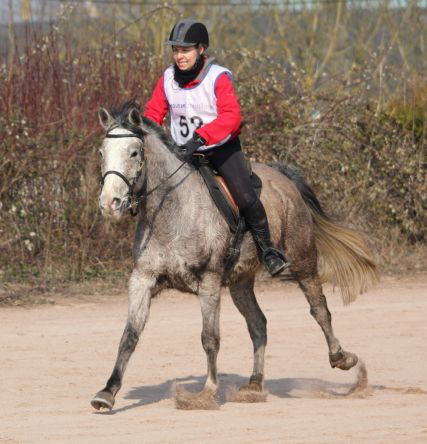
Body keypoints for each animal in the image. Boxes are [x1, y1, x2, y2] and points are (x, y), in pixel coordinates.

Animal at [90, 101, 378, 412]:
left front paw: (206, 391)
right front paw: (107, 392)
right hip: (241, 282)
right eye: (102, 153)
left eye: (134, 152)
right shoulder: (143, 279)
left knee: (320, 310)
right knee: (258, 323)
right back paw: (254, 384)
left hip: (303, 261)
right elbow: (129, 335)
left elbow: (209, 337)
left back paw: (342, 358)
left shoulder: (209, 281)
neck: (171, 211)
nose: (110, 203)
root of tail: (283, 177)